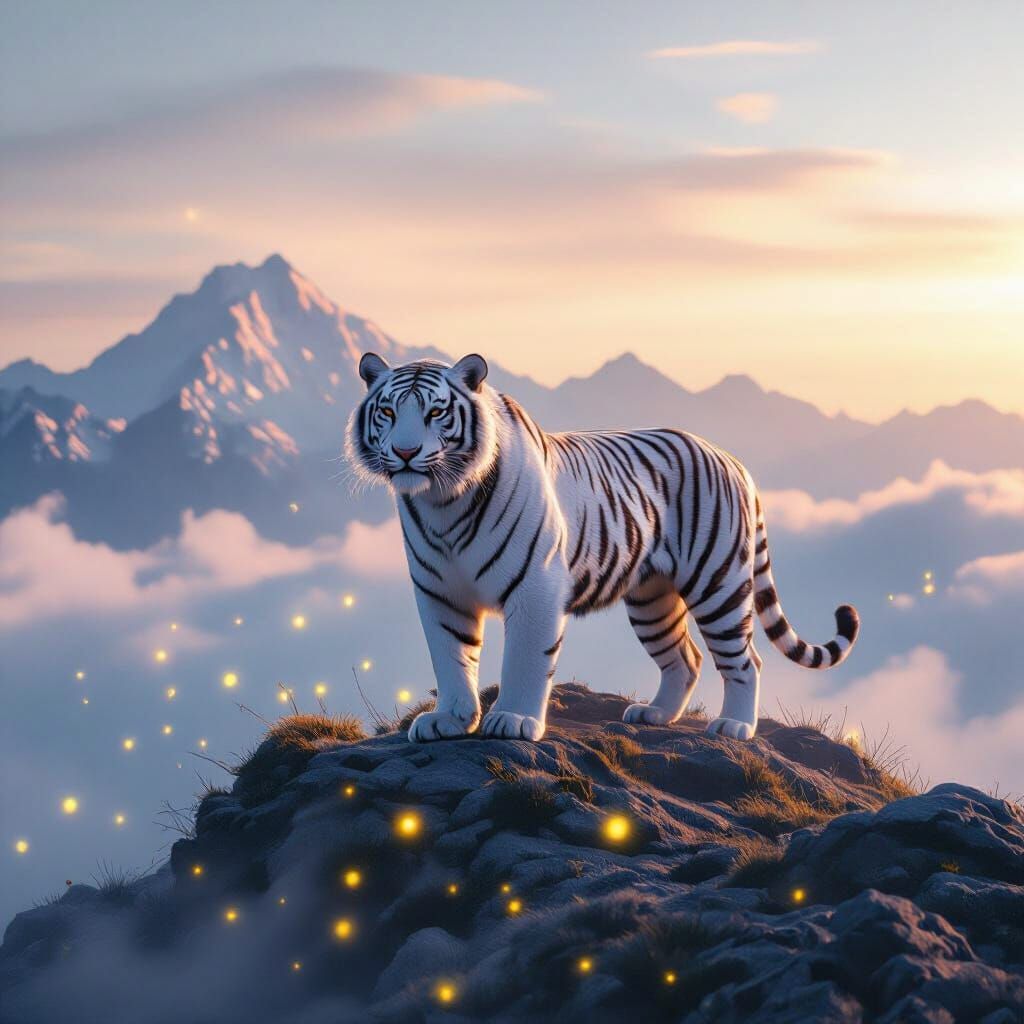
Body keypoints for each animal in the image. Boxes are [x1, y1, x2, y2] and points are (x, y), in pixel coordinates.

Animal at [346, 352, 859, 743]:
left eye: (435, 412)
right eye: (387, 412)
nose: (407, 452)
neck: (444, 501)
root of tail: (733, 460)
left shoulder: (535, 586)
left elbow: (525, 659)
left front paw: (513, 719)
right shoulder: (439, 593)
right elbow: (451, 656)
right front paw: (450, 719)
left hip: (718, 584)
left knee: (745, 660)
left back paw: (734, 726)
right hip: (652, 598)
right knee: (686, 659)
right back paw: (655, 714)